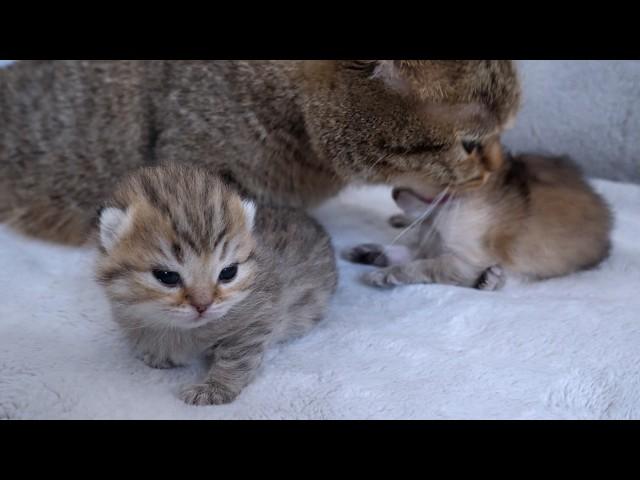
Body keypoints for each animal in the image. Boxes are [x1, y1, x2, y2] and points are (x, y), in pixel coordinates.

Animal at [95, 165, 338, 404]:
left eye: (228, 273)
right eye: (167, 276)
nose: (203, 305)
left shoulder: (256, 319)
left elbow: (236, 358)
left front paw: (215, 388)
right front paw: (158, 353)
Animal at [342, 137, 612, 290]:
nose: (394, 193)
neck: (441, 213)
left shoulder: (465, 260)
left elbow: (421, 266)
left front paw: (386, 274)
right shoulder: (430, 243)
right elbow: (403, 252)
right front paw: (369, 252)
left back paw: (491, 280)